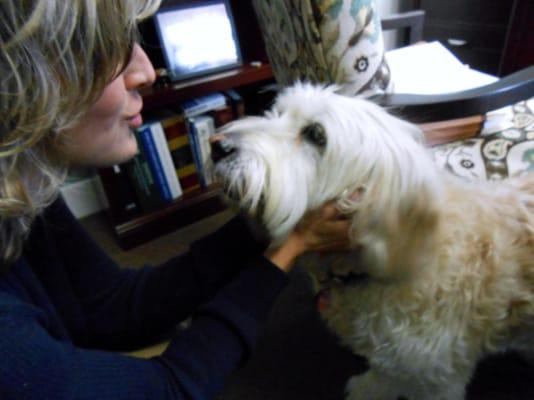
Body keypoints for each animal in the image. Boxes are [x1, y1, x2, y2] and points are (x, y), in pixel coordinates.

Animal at [211, 83, 534, 398]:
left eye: (316, 134)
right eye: (277, 112)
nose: (217, 145)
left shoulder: (438, 376)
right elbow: (384, 374)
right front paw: (368, 387)